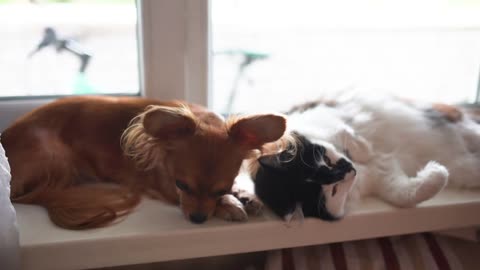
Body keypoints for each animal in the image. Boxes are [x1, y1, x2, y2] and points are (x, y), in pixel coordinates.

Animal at [0, 96, 284, 229]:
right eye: (182, 185)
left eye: (221, 189)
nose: (198, 219)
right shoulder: (168, 188)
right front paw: (230, 205)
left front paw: (243, 194)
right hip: (54, 152)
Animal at [251, 94, 480, 220]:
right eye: (333, 190)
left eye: (326, 161)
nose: (349, 169)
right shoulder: (383, 177)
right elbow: (407, 194)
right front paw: (435, 170)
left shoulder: (327, 118)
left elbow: (346, 132)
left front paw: (364, 149)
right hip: (464, 167)